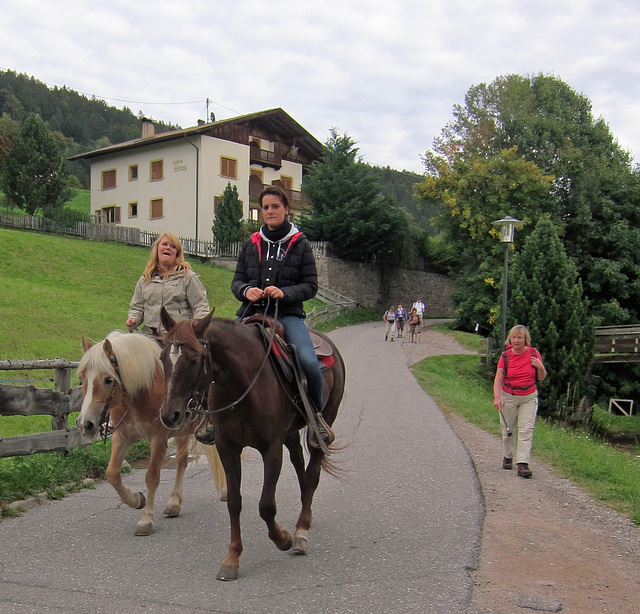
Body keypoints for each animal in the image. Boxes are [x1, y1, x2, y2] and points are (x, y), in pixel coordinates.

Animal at [76, 332, 226, 540]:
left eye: (108, 379)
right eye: (82, 378)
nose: (86, 424)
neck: (143, 389)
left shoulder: (158, 440)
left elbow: (152, 477)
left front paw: (146, 520)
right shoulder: (121, 437)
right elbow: (112, 474)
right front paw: (136, 499)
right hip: (181, 434)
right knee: (182, 463)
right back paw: (174, 503)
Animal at [160, 310, 348, 584]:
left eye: (194, 360)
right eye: (163, 357)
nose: (169, 415)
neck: (241, 384)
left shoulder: (271, 449)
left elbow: (266, 506)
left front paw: (283, 538)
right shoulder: (228, 448)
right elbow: (234, 502)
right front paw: (232, 558)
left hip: (322, 423)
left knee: (312, 473)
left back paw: (301, 531)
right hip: (290, 434)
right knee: (299, 465)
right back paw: (306, 514)